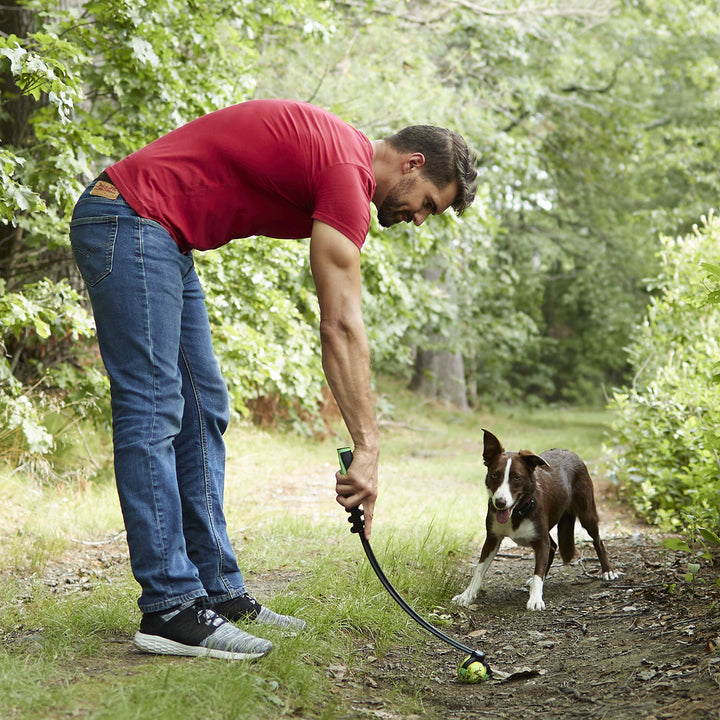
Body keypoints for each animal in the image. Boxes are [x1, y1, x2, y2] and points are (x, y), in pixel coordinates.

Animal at [452, 430, 616, 612]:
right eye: (494, 475)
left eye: (516, 477)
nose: (499, 502)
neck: (517, 513)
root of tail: (570, 452)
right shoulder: (492, 538)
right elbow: (479, 569)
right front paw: (466, 595)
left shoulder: (540, 539)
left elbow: (538, 571)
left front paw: (536, 599)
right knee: (553, 546)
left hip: (586, 512)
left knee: (597, 541)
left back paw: (607, 571)